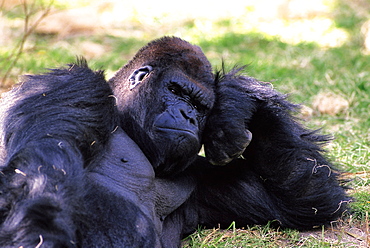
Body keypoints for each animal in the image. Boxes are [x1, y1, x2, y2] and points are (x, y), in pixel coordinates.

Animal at [0, 35, 348, 247]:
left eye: (201, 107)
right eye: (177, 91)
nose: (188, 116)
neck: (123, 119)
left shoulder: (197, 173)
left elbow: (307, 203)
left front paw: (239, 99)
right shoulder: (70, 85)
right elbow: (42, 173)